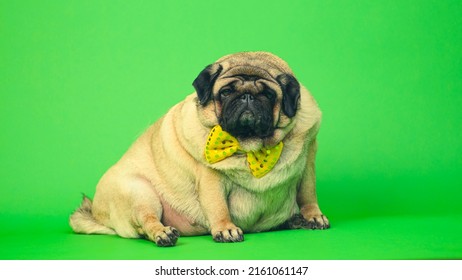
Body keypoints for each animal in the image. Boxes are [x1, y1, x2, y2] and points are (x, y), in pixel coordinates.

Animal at [69, 51, 328, 246]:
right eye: (226, 92)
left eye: (268, 94)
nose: (247, 97)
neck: (251, 148)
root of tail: (97, 213)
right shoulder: (211, 179)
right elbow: (218, 207)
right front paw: (226, 229)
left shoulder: (308, 162)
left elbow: (308, 194)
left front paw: (312, 216)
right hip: (140, 193)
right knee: (146, 222)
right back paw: (163, 233)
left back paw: (294, 220)